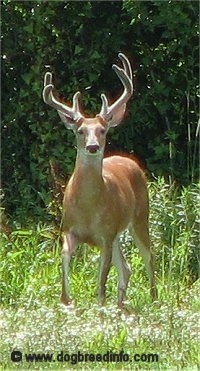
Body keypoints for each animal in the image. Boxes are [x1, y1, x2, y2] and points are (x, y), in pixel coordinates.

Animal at [42, 52, 158, 308]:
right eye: (80, 131)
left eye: (103, 130)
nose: (93, 147)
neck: (88, 207)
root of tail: (129, 161)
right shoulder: (70, 229)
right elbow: (64, 260)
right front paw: (66, 301)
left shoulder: (106, 234)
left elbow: (101, 281)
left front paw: (100, 306)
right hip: (118, 232)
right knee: (126, 267)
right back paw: (121, 305)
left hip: (139, 217)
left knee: (148, 257)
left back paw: (154, 300)